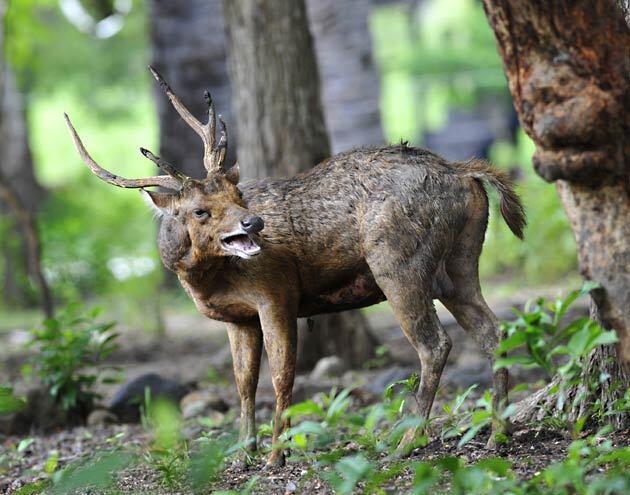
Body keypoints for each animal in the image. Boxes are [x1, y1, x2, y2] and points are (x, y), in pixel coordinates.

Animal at [64, 66, 528, 468]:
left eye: (237, 194)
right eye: (199, 210)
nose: (253, 222)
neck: (206, 282)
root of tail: (464, 172)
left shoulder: (277, 295)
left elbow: (282, 377)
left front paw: (276, 455)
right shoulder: (238, 319)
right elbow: (243, 384)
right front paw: (243, 454)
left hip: (399, 263)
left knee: (435, 344)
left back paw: (408, 441)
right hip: (459, 266)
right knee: (494, 333)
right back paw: (497, 433)